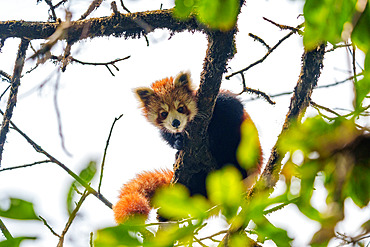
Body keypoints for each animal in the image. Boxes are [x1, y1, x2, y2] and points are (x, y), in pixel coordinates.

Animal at [113, 72, 264, 224]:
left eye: (181, 108)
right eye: (163, 113)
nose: (175, 122)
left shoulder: (224, 103)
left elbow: (232, 109)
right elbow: (169, 136)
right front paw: (178, 143)